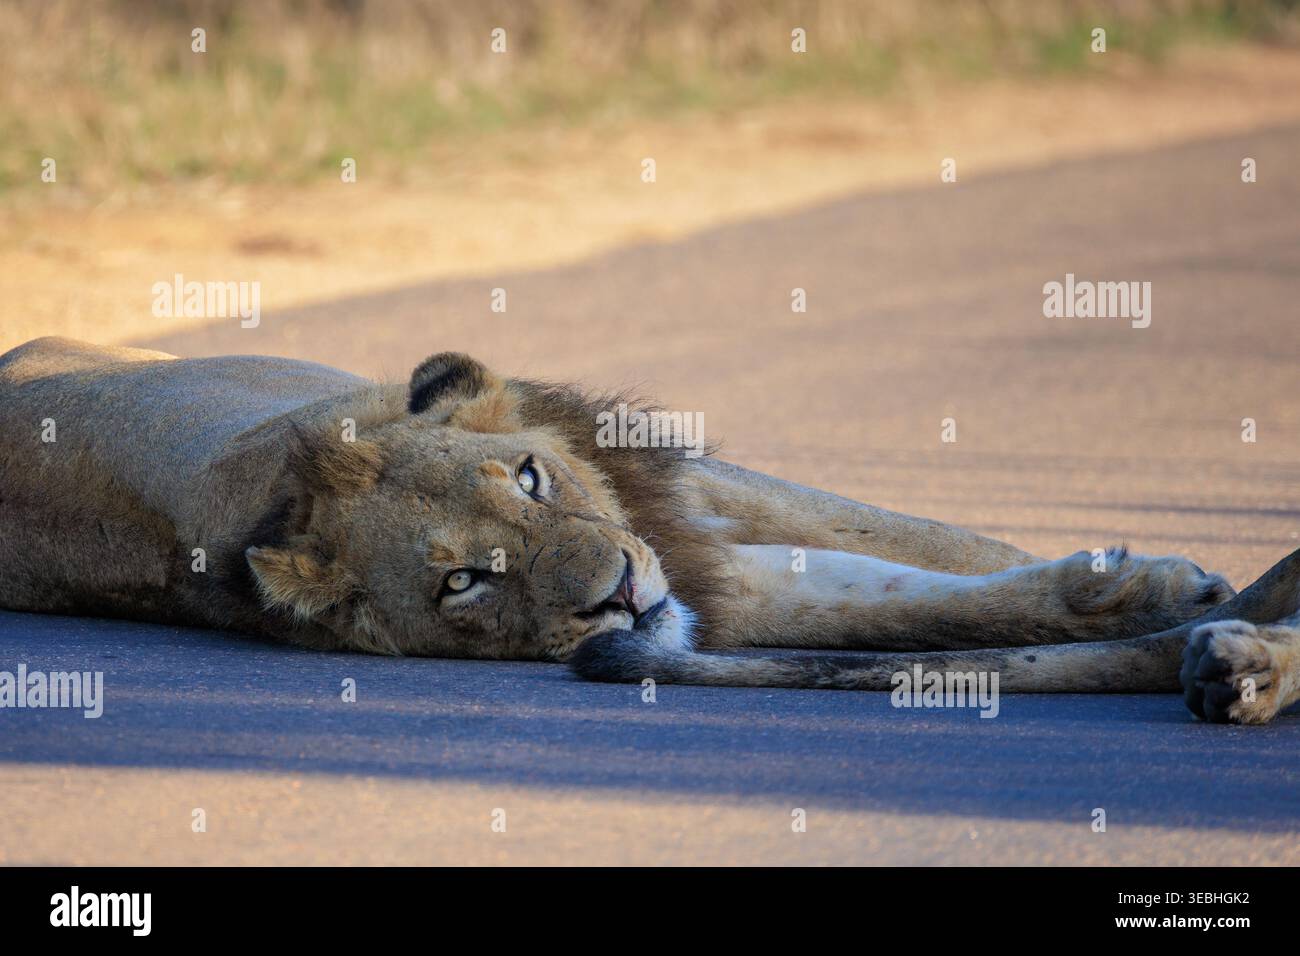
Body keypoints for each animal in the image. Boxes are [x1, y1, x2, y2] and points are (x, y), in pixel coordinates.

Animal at [2, 337, 1297, 725]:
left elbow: (930, 540)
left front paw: (1165, 577)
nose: (621, 591)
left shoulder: (691, 497)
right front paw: (1162, 593)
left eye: (530, 476)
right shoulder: (711, 576)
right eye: (465, 584)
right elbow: (919, 599)